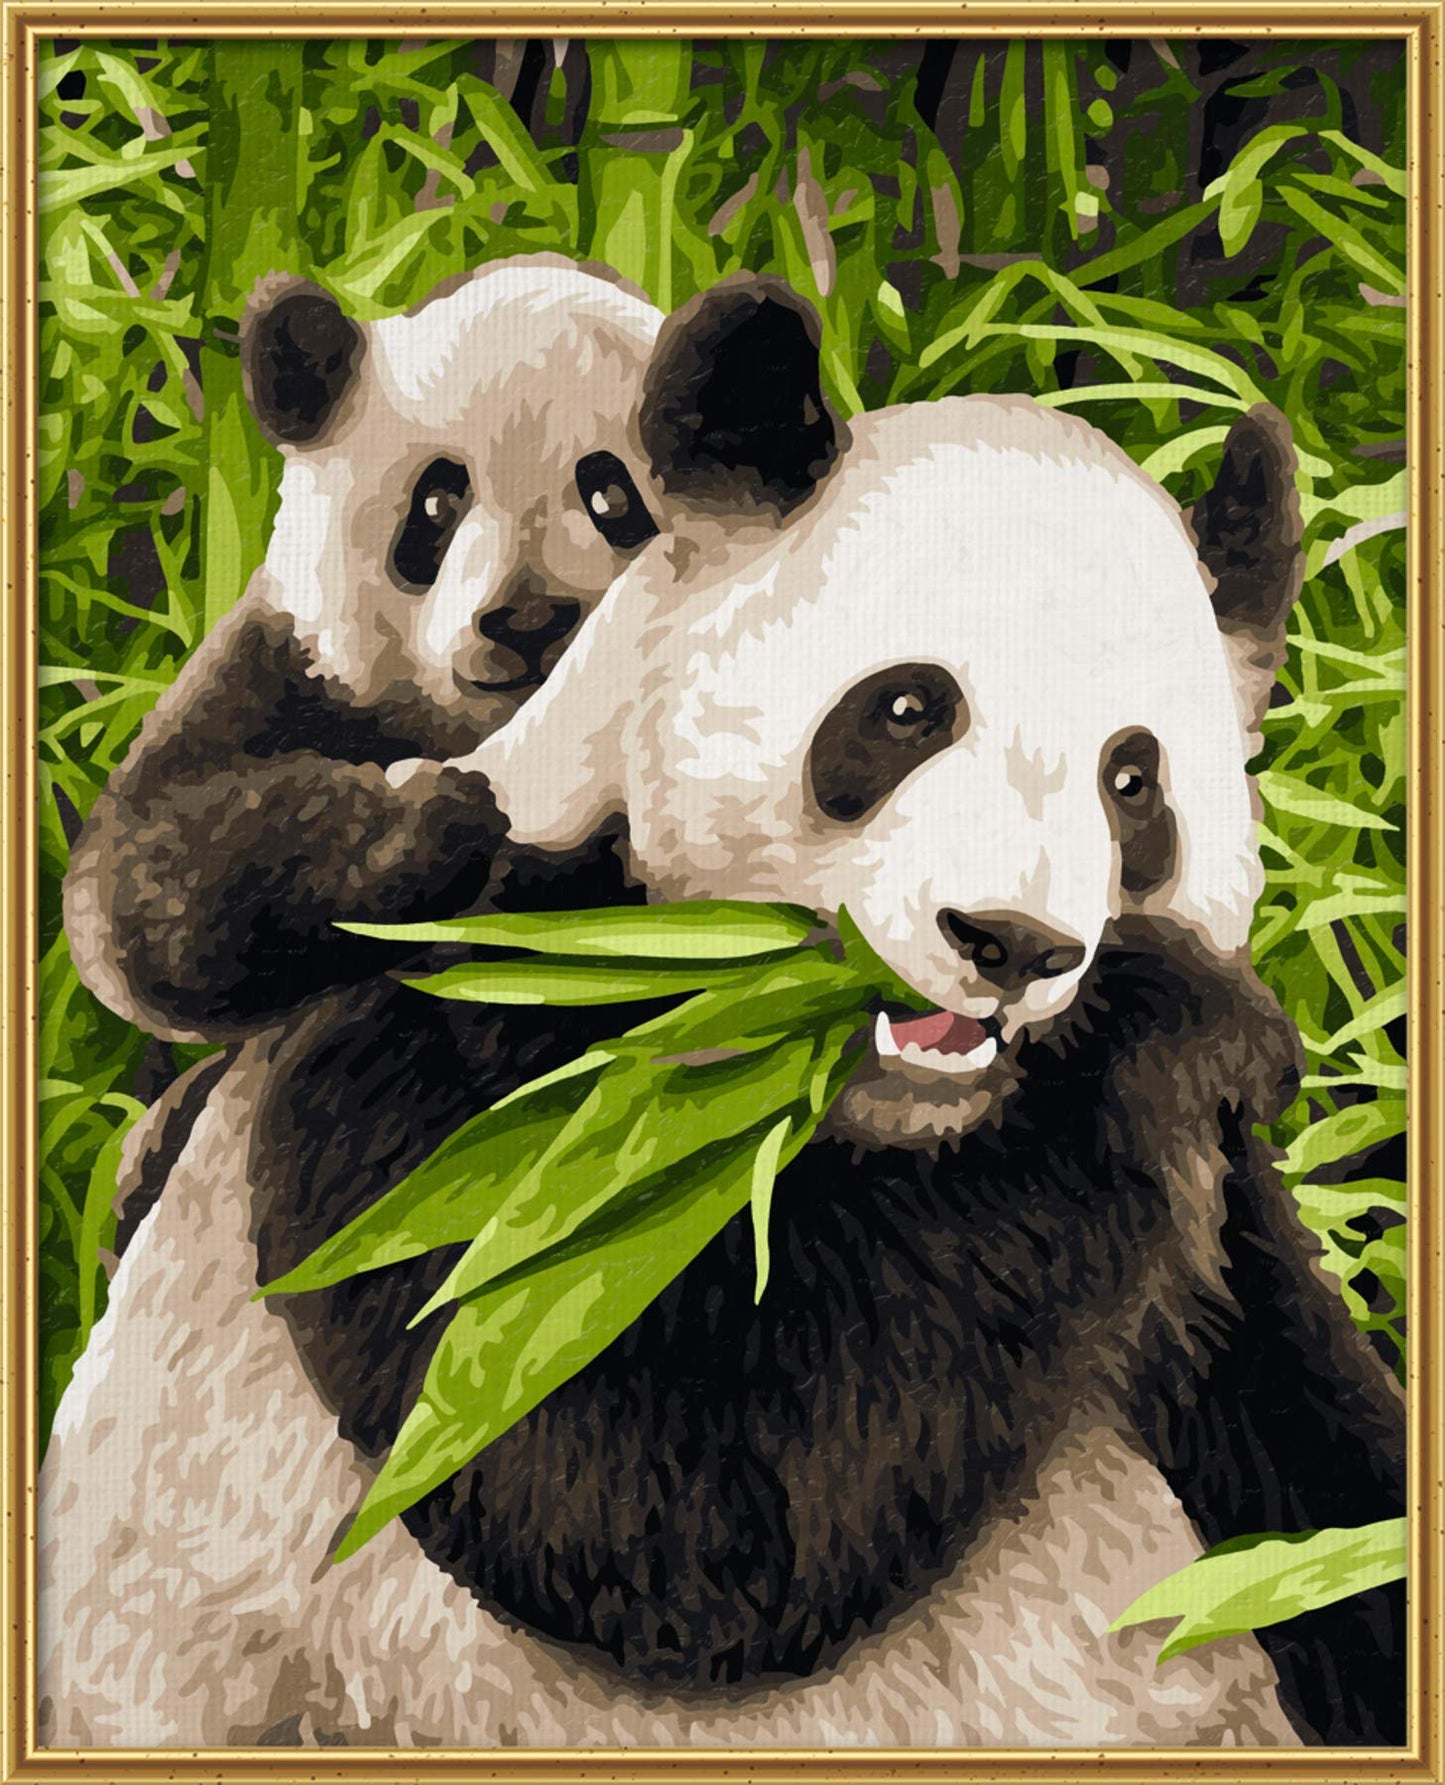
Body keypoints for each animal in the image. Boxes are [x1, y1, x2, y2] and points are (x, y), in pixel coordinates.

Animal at [39, 275, 1405, 1751]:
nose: (1013, 943)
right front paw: (1183, 1020)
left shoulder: (1211, 1240)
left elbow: (1331, 1492)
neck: (896, 1130)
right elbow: (662, 1500)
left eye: (1134, 783)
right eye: (906, 709)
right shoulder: (480, 1015)